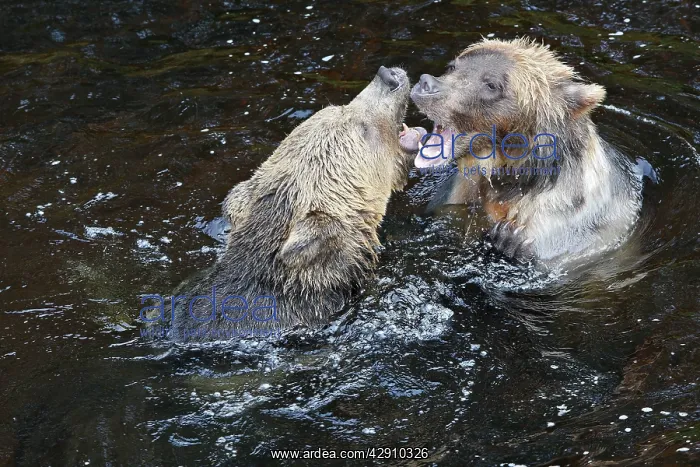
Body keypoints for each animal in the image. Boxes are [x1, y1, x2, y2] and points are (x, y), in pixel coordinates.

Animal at [409, 37, 646, 263]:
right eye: (452, 67)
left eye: (491, 84)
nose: (426, 84)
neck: (512, 176)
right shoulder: (460, 192)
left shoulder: (566, 225)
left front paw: (508, 237)